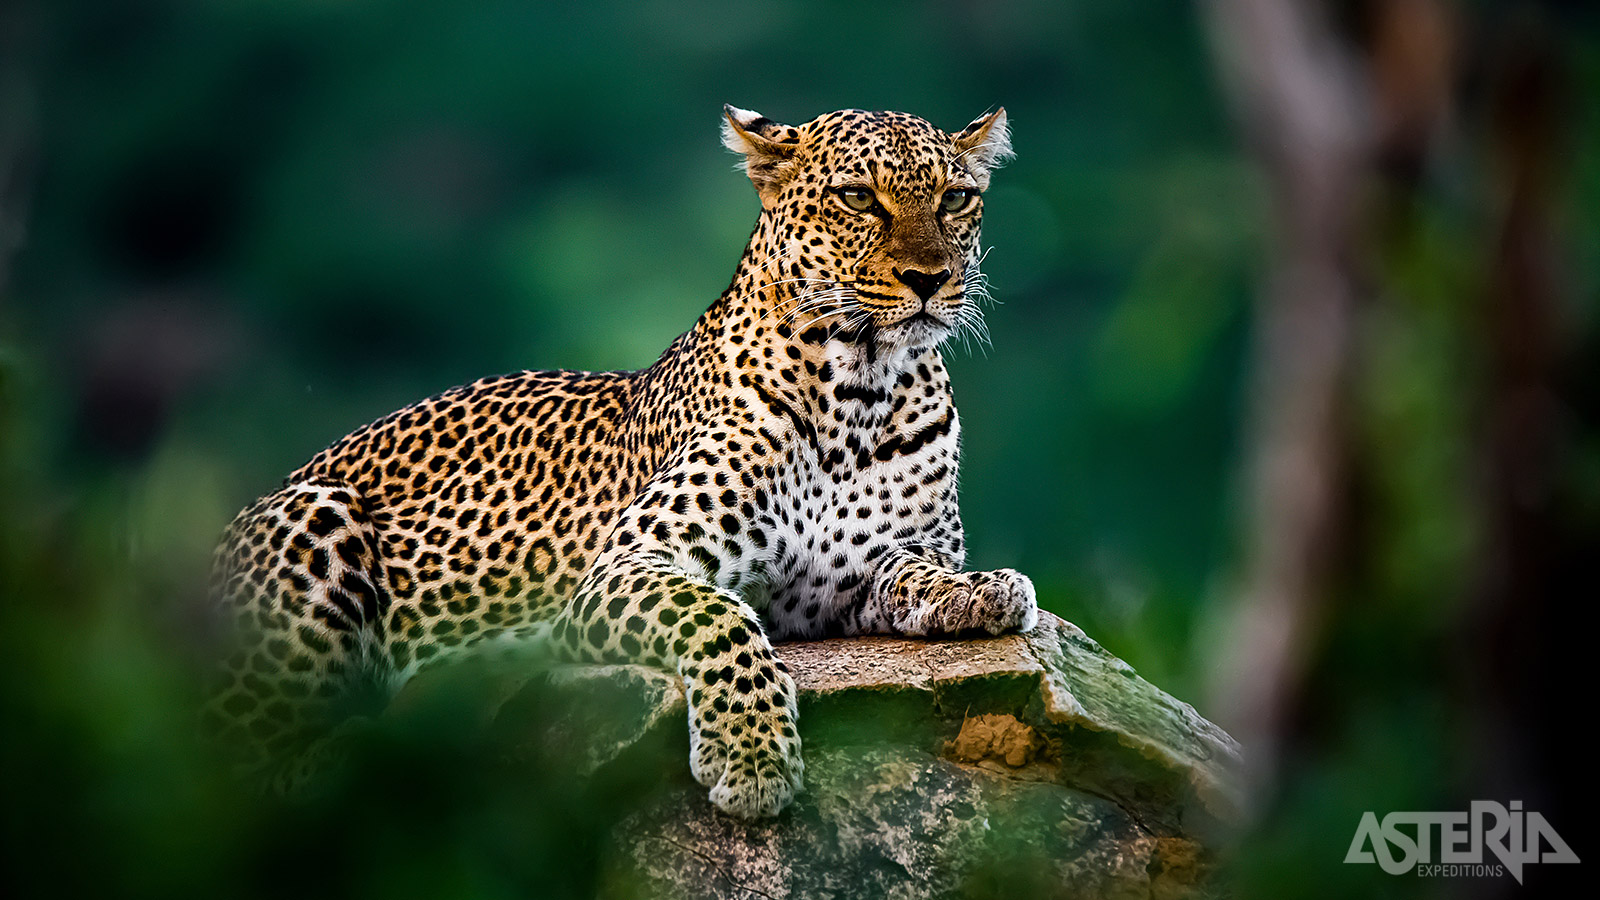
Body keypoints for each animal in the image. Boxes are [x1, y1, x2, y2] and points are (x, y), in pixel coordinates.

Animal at [203, 103, 1036, 813]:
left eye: (956, 200)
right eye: (859, 198)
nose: (930, 280)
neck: (862, 391)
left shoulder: (857, 578)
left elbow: (918, 575)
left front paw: (986, 591)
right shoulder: (628, 566)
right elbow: (720, 620)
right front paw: (752, 756)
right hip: (313, 512)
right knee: (249, 775)